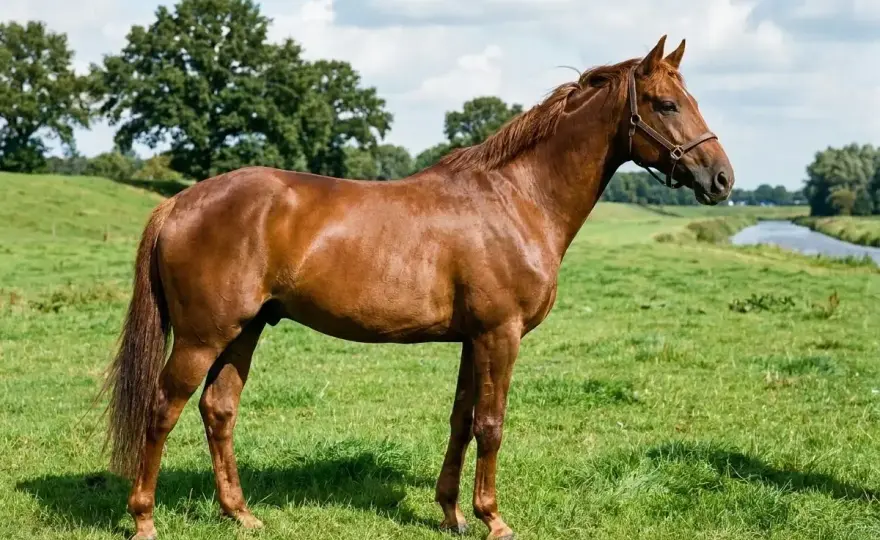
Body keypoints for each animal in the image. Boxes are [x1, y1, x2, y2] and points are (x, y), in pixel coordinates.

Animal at [102, 35, 734, 540]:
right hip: (202, 337)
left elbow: (462, 420)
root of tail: (179, 202)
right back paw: (144, 519)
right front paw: (494, 519)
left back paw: (241, 514)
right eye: (667, 104)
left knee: (218, 409)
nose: (722, 178)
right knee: (163, 409)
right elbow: (491, 425)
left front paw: (452, 514)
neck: (516, 199)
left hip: (245, 329)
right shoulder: (500, 335)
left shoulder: (473, 339)